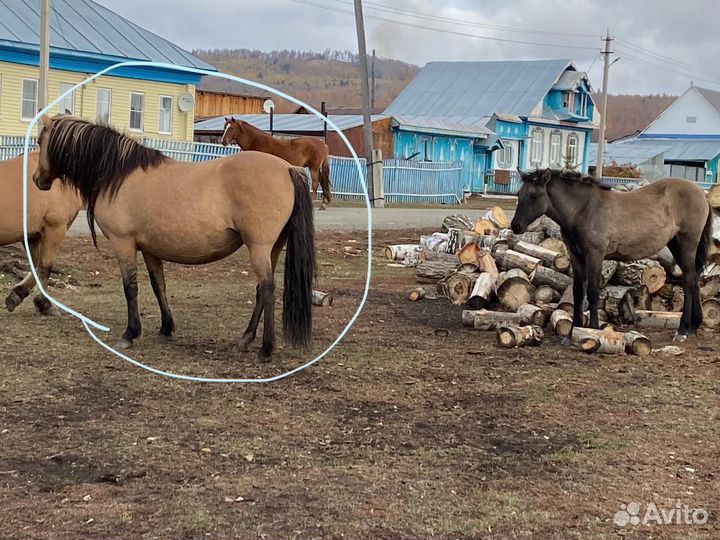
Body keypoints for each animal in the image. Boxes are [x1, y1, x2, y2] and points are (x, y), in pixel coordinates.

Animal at [0, 152, 83, 316]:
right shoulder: (55, 229)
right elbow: (45, 266)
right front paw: (45, 304)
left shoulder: (32, 235)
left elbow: (36, 265)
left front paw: (17, 295)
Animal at [33, 115, 315, 360]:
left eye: (39, 140)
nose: (37, 180)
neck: (118, 174)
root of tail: (288, 168)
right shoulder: (149, 248)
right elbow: (159, 285)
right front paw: (166, 329)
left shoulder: (123, 243)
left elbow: (130, 288)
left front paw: (130, 333)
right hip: (272, 248)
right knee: (260, 291)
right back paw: (245, 340)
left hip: (258, 247)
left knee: (267, 289)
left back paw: (266, 348)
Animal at [511, 168, 712, 342]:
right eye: (519, 195)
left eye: (534, 196)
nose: (515, 226)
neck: (584, 209)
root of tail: (701, 194)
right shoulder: (576, 256)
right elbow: (578, 292)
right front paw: (572, 333)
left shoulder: (595, 255)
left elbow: (592, 292)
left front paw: (593, 329)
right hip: (675, 244)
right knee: (694, 277)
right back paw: (693, 326)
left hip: (687, 243)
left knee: (689, 280)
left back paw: (682, 331)